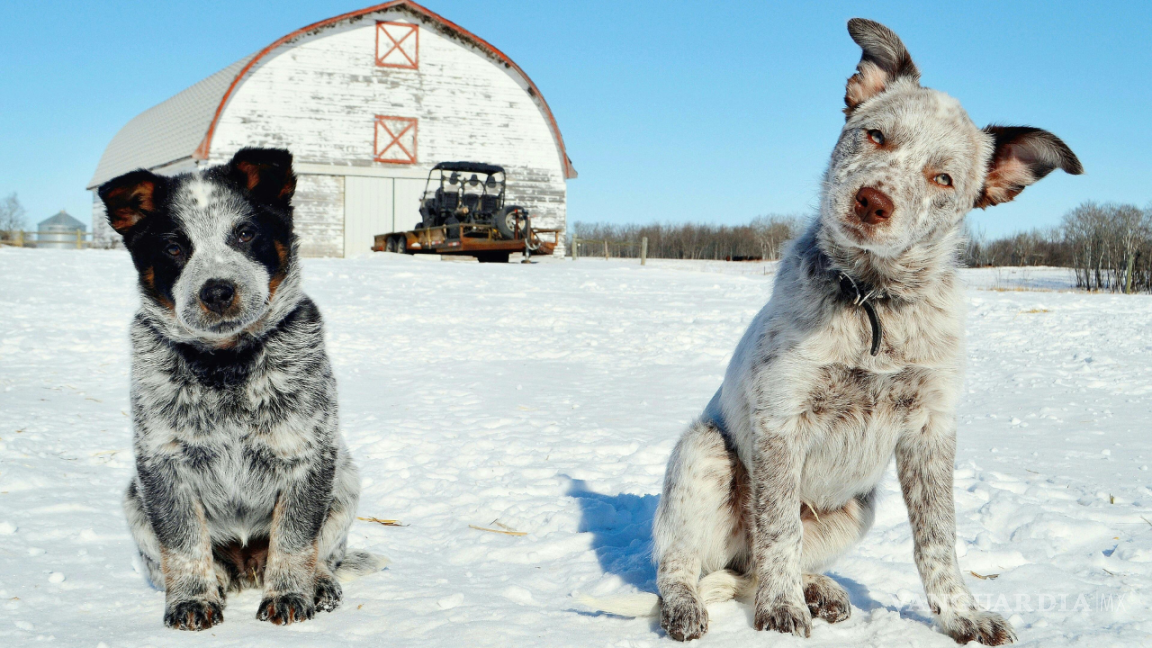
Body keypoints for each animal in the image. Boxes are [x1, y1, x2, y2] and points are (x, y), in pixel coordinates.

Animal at [99, 147, 377, 631]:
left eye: (245, 233)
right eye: (174, 247)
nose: (217, 291)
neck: (226, 365)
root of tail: (248, 565)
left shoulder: (307, 453)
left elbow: (295, 539)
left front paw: (289, 595)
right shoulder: (162, 462)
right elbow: (183, 542)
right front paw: (192, 600)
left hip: (345, 478)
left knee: (326, 552)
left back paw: (320, 583)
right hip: (134, 498)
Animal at [585, 17, 1078, 641]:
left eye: (942, 178)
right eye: (874, 136)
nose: (872, 201)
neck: (872, 302)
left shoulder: (931, 428)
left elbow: (937, 539)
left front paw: (960, 614)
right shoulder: (781, 419)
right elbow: (778, 529)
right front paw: (780, 610)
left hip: (858, 508)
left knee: (756, 566)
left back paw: (818, 588)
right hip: (705, 454)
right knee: (684, 565)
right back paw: (690, 606)